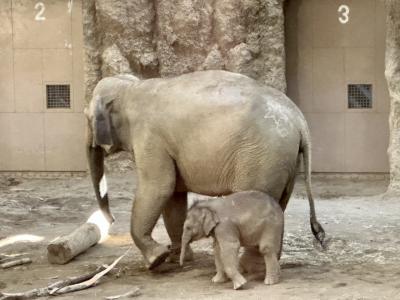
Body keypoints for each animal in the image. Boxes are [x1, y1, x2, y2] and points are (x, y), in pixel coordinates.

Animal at [84, 70, 324, 270]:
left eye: (87, 118)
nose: (110, 221)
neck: (131, 88)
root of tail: (299, 120)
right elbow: (173, 196)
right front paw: (176, 259)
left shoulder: (149, 137)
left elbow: (159, 187)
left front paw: (156, 260)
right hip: (284, 160)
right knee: (280, 203)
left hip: (262, 157)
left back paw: (248, 266)